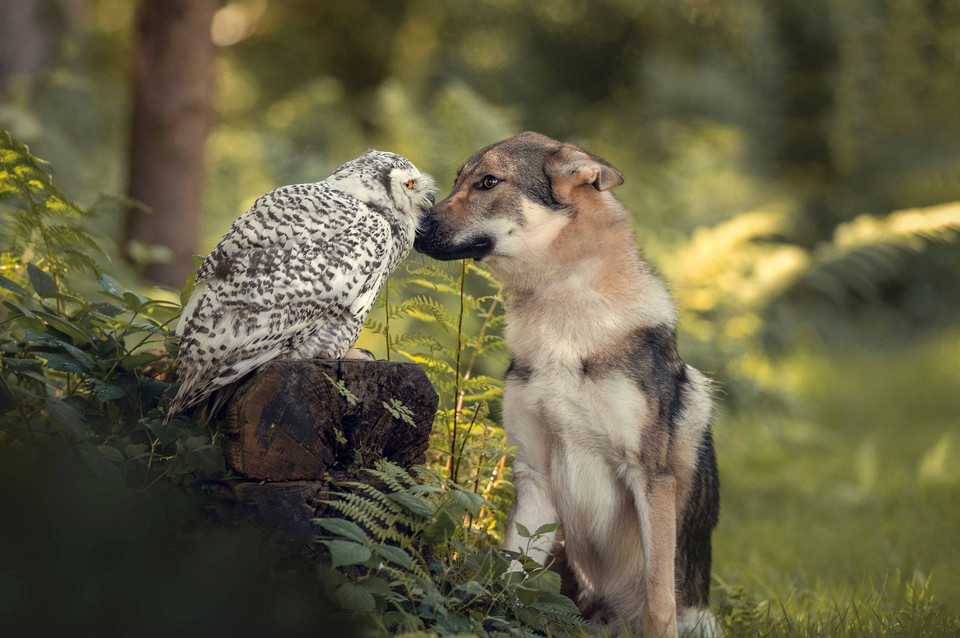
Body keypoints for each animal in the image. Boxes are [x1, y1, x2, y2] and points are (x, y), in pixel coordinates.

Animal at [412, 132, 720, 636]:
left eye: (488, 182)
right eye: (458, 181)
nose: (414, 228)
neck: (560, 307)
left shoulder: (650, 477)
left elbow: (659, 602)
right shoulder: (534, 475)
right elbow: (508, 585)